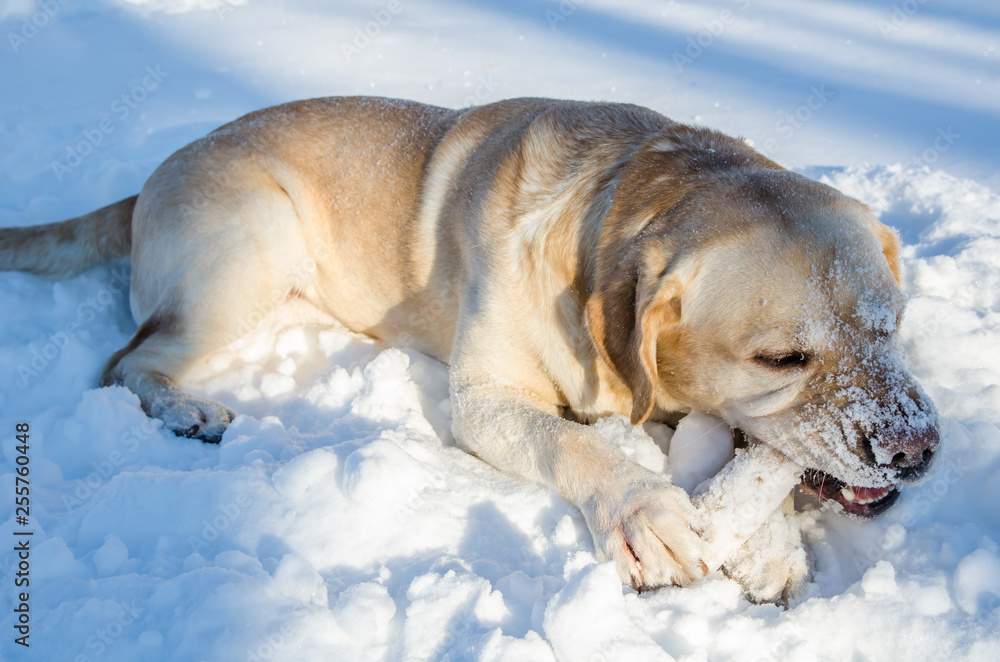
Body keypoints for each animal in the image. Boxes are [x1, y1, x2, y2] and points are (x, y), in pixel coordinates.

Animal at [0, 97, 936, 600]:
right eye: (782, 359)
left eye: (890, 325)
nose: (917, 448)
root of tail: (145, 180)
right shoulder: (484, 397)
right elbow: (572, 443)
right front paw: (645, 512)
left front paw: (771, 544)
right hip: (249, 246)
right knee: (126, 362)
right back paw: (187, 405)